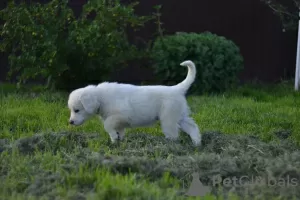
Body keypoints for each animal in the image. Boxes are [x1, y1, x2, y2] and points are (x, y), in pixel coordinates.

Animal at [68, 60, 202, 146]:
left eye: (77, 110)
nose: (70, 122)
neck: (101, 98)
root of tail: (176, 89)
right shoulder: (119, 121)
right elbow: (118, 130)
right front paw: (116, 140)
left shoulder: (119, 115)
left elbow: (107, 125)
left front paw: (114, 137)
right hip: (181, 116)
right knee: (193, 127)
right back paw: (196, 143)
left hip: (168, 118)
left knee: (173, 134)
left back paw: (170, 144)